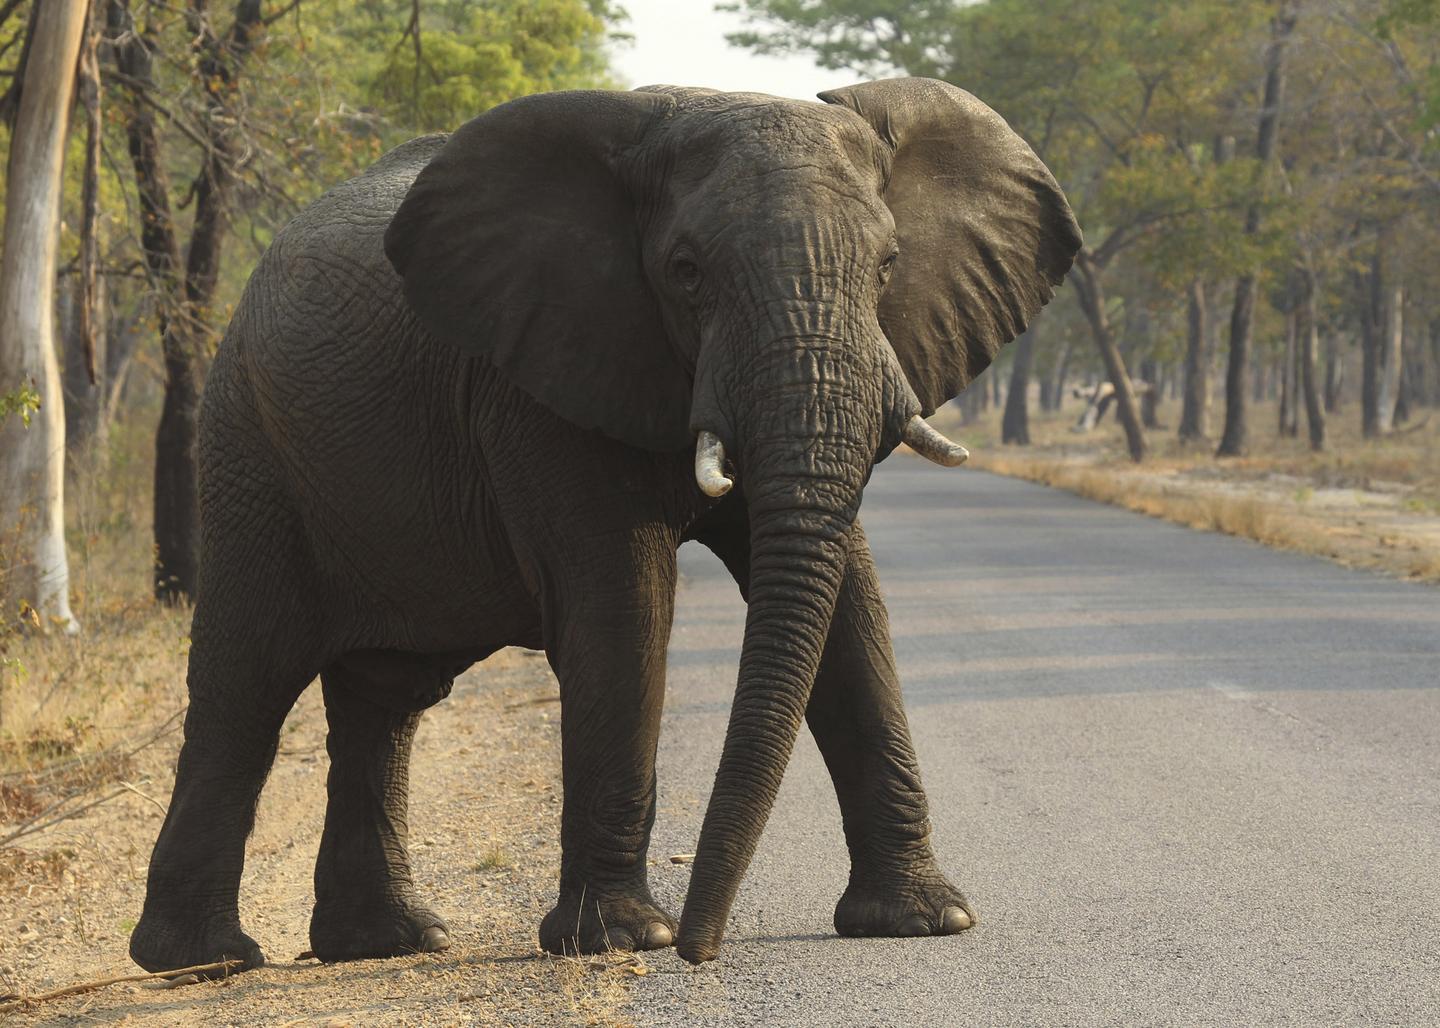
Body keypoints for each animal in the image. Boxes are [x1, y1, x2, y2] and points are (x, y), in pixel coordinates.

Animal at [129, 77, 1080, 972]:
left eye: (887, 266)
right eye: (686, 271)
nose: (704, 949)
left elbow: (851, 601)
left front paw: (925, 921)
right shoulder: (541, 377)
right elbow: (625, 605)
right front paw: (624, 940)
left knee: (384, 698)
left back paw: (389, 943)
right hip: (249, 445)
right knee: (249, 678)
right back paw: (205, 961)